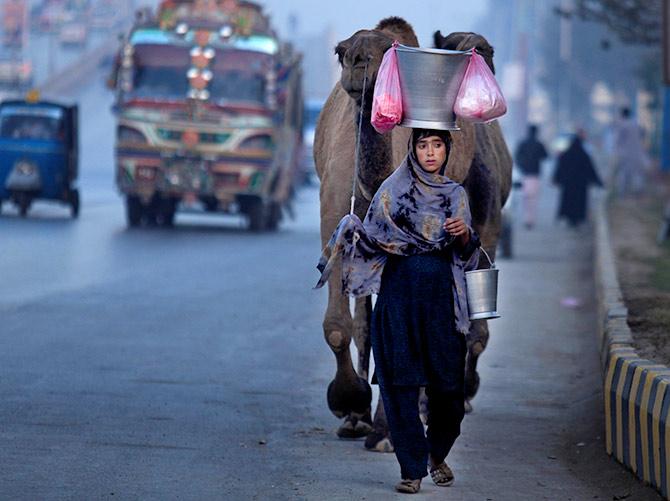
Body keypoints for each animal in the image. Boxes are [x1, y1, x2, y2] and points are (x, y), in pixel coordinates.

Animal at [316, 18, 516, 450]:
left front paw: (386, 430)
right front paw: (350, 404)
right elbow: (343, 327)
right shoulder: (337, 216)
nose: (357, 62)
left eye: (387, 50)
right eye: (341, 51)